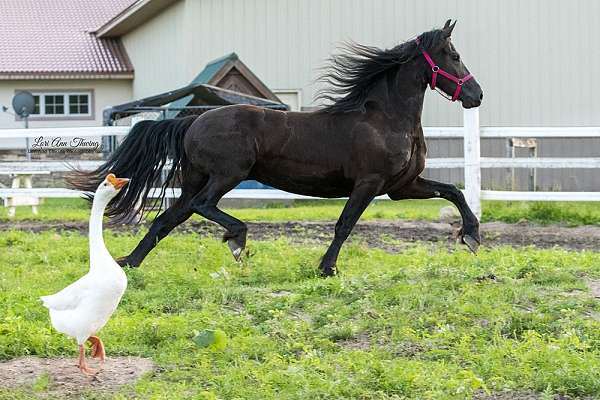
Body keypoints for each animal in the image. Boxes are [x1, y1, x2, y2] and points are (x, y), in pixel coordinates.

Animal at [70, 18, 482, 276]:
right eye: (455, 56)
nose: (477, 95)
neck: (386, 118)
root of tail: (193, 120)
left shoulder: (401, 186)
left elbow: (453, 191)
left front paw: (472, 236)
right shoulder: (369, 182)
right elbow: (345, 224)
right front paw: (327, 268)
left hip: (195, 178)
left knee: (168, 218)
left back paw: (129, 263)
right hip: (227, 175)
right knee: (202, 207)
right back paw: (237, 239)